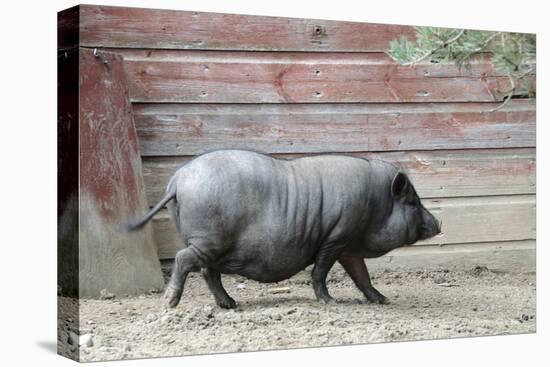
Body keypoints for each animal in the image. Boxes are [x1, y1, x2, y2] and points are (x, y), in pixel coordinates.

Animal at [127, 149, 442, 308]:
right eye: (413, 202)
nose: (439, 223)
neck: (377, 204)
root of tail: (177, 181)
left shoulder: (347, 246)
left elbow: (361, 276)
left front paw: (384, 300)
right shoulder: (335, 238)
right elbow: (320, 272)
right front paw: (331, 303)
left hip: (210, 245)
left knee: (208, 272)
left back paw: (231, 305)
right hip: (208, 241)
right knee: (185, 260)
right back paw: (169, 304)